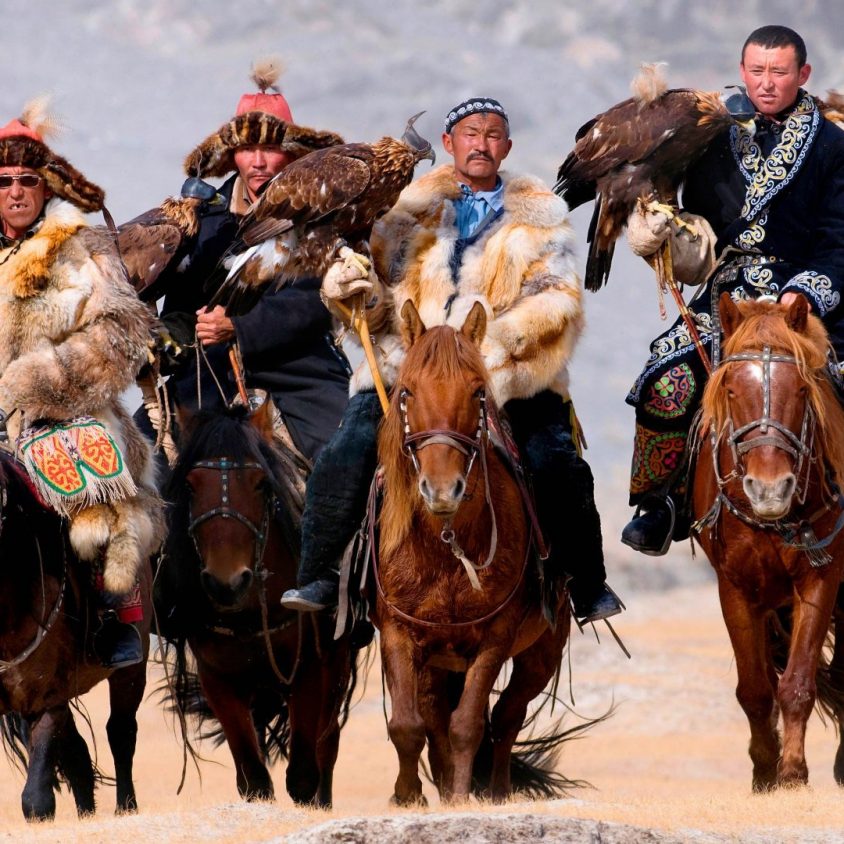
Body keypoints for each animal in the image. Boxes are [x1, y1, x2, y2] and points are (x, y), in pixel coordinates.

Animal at [0, 451, 152, 820]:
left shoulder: (48, 695)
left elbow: (37, 801)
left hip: (131, 670)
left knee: (120, 732)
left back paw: (126, 807)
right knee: (79, 754)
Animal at [155, 398, 359, 805]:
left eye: (262, 483)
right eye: (190, 485)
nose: (227, 583)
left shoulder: (310, 671)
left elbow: (303, 775)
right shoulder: (219, 681)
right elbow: (254, 780)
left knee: (326, 750)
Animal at [371, 300, 574, 805]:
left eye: (478, 392)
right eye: (406, 391)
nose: (443, 490)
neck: (446, 549)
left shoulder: (495, 640)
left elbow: (467, 726)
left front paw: (462, 797)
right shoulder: (398, 633)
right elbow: (408, 726)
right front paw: (409, 797)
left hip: (540, 654)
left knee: (506, 718)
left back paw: (496, 790)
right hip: (436, 664)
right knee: (435, 719)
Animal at [692, 292, 844, 790]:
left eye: (801, 390)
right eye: (730, 390)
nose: (770, 490)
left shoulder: (821, 578)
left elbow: (797, 682)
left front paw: (793, 772)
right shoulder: (736, 587)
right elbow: (756, 689)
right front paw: (764, 771)